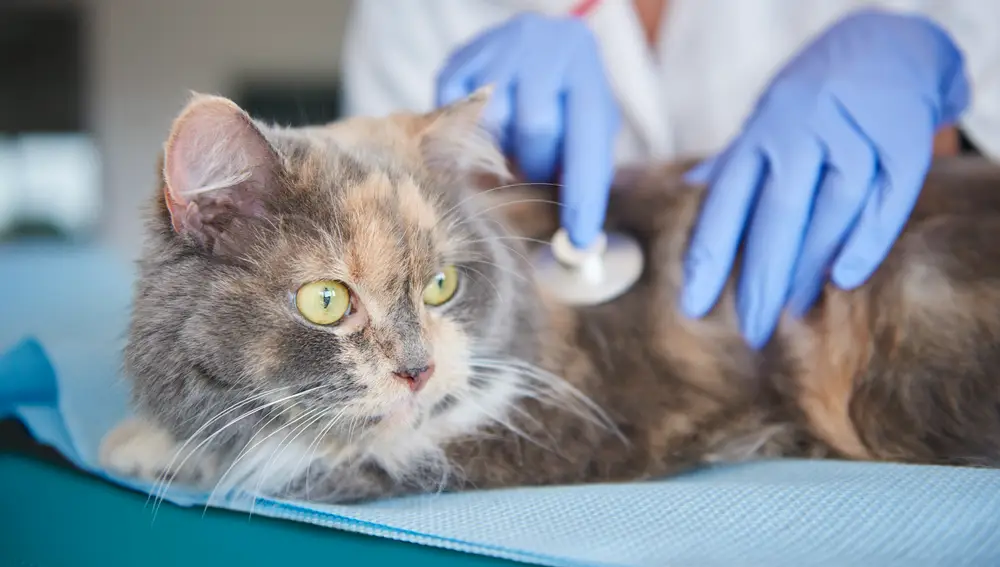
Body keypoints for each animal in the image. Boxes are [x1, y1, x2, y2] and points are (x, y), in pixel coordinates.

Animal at [97, 87, 1000, 506]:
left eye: (442, 285)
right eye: (325, 301)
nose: (419, 371)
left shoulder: (572, 423)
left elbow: (301, 459)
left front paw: (160, 448)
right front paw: (144, 439)